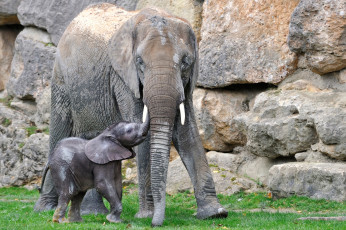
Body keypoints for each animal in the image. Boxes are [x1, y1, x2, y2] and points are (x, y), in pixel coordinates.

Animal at [35, 3, 228, 226]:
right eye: (140, 62)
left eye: (185, 62)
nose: (155, 224)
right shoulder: (124, 79)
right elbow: (146, 135)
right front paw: (146, 215)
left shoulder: (185, 84)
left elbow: (187, 134)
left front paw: (215, 213)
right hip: (60, 77)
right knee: (60, 130)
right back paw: (45, 209)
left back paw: (93, 212)